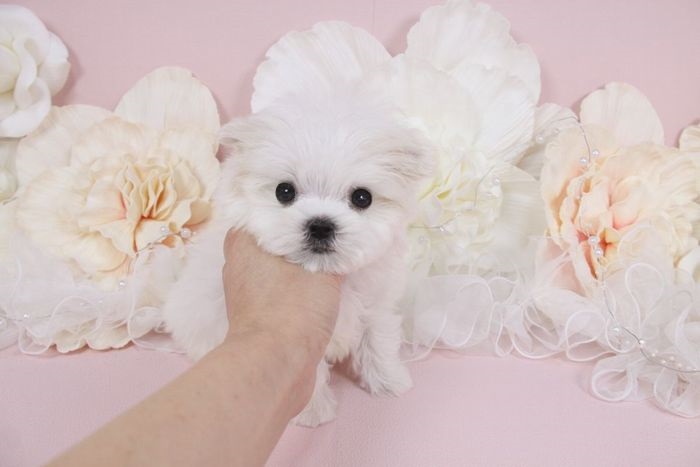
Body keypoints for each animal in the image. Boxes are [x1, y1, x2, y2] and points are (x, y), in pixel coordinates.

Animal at [163, 83, 433, 426]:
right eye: (284, 192)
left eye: (362, 198)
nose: (320, 225)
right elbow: (309, 373)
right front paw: (313, 412)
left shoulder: (377, 304)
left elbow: (378, 341)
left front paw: (389, 381)